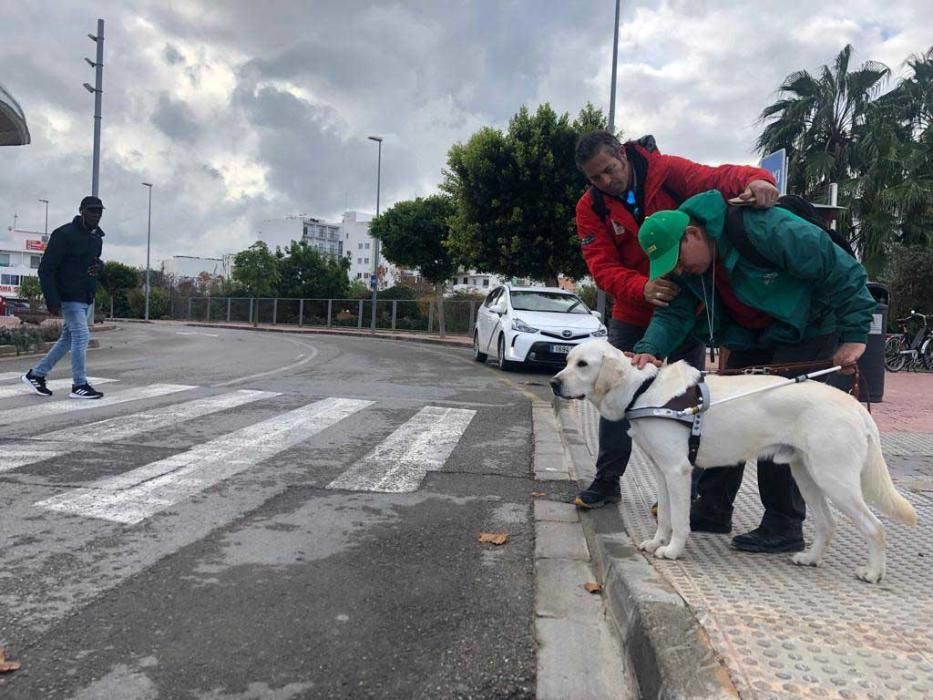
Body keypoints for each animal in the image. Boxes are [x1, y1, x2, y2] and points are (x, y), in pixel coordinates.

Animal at [548, 342, 912, 584]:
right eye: (566, 361)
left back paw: (873, 572)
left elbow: (679, 519)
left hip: (835, 479)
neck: (643, 390)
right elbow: (664, 514)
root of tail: (855, 406)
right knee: (827, 523)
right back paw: (810, 558)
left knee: (875, 527)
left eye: (583, 364)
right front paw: (656, 542)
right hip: (807, 474)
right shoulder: (662, 471)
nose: (554, 382)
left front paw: (673, 550)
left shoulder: (678, 471)